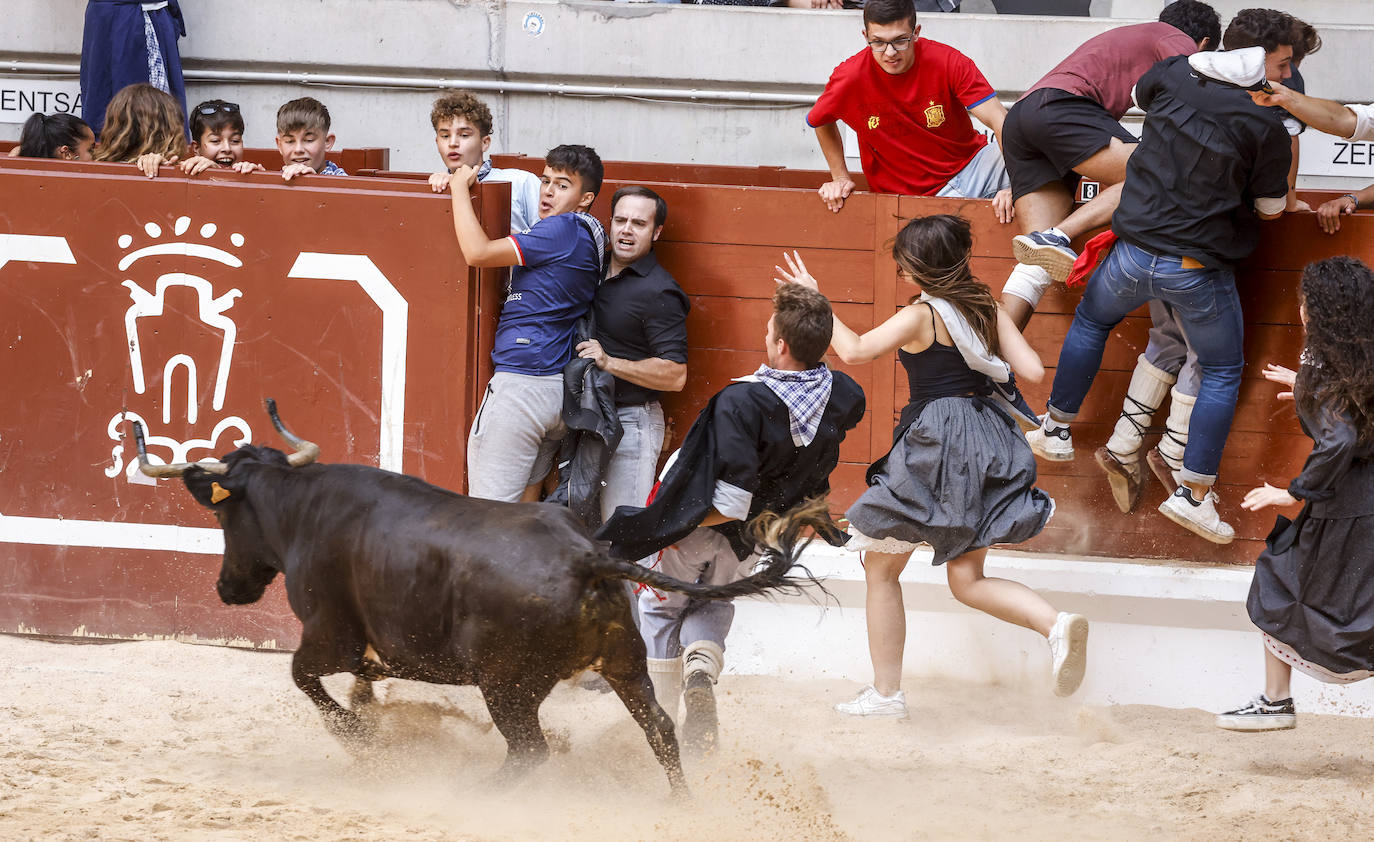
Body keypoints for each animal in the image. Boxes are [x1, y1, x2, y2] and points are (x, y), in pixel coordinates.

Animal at [131, 409, 824, 791]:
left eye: (224, 517)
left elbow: (308, 680)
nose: (229, 587)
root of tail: (587, 555)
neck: (303, 509)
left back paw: (477, 789)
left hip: (509, 687)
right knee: (659, 730)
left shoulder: (328, 636)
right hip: (623, 664)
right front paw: (373, 719)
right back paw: (678, 803)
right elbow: (359, 683)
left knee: (530, 751)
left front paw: (363, 738)